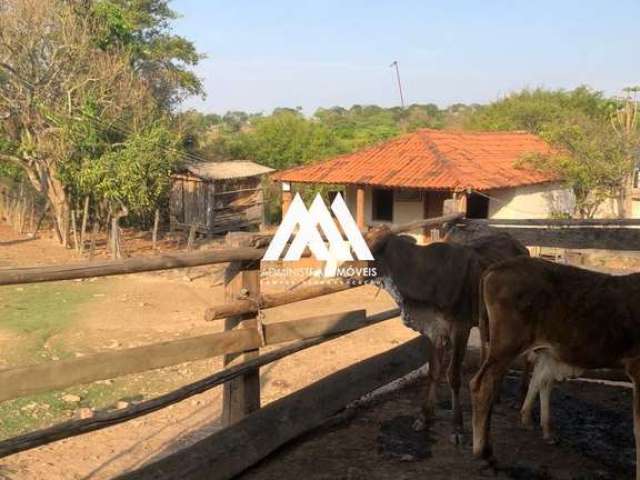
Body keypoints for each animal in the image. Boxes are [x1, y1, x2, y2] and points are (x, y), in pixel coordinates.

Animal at [364, 225, 528, 442]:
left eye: (372, 248)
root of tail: (522, 248)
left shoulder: (460, 328)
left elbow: (453, 375)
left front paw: (457, 427)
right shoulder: (434, 330)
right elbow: (434, 371)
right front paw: (424, 417)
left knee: (528, 356)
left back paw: (520, 399)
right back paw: (496, 395)